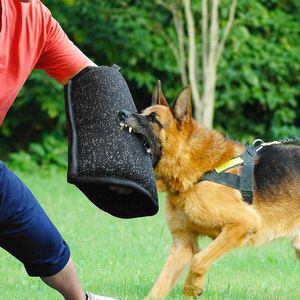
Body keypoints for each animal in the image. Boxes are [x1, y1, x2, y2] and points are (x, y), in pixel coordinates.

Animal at [118, 81, 300, 298]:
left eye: (153, 118)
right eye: (142, 112)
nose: (120, 112)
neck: (197, 172)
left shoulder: (244, 223)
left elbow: (199, 260)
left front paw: (192, 287)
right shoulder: (183, 244)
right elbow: (160, 285)